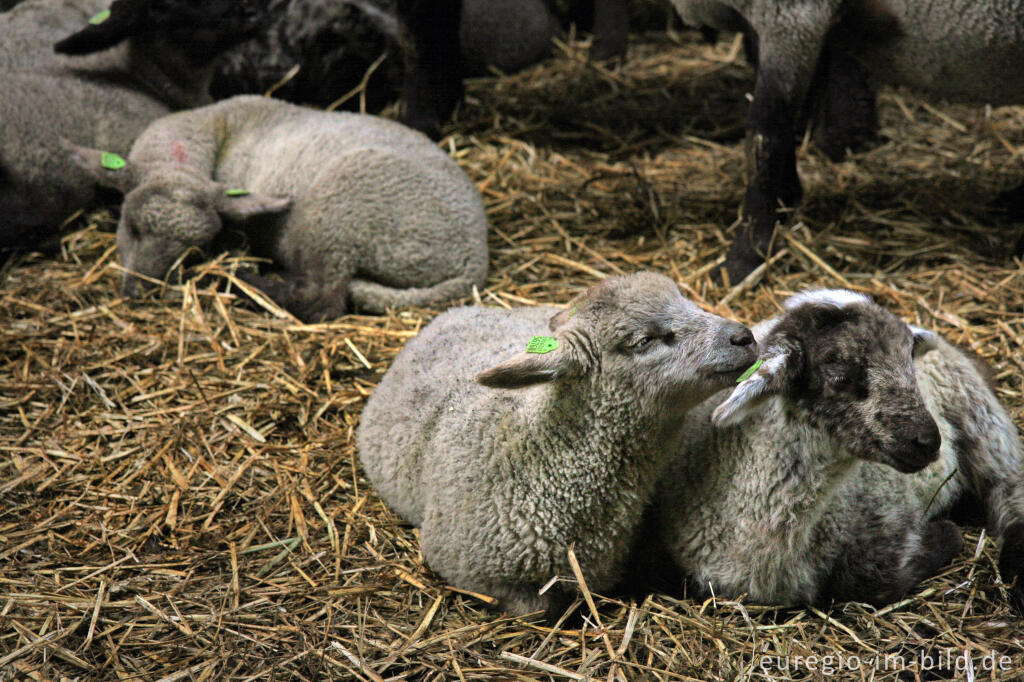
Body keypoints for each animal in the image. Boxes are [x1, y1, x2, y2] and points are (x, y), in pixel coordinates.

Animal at [64, 93, 487, 321]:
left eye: (196, 249)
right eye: (132, 228)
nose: (144, 292)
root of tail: (474, 256)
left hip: (340, 210)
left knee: (322, 300)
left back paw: (243, 281)